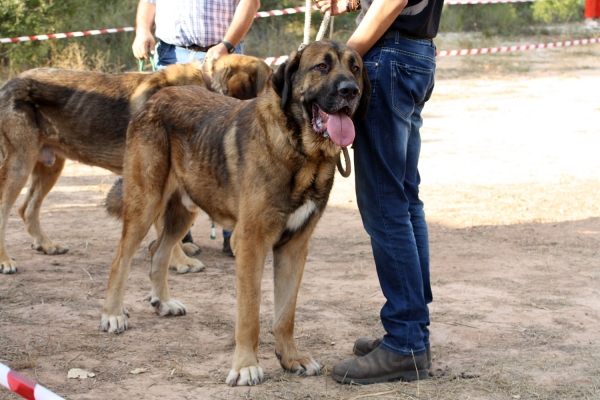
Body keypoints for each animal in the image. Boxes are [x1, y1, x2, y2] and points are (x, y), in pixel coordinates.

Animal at [0, 54, 272, 276]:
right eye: (272, 84)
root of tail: (8, 84)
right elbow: (163, 229)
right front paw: (179, 262)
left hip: (50, 165)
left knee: (27, 207)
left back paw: (46, 244)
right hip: (20, 164)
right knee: (6, 209)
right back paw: (5, 261)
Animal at [99, 39, 370, 384]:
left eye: (355, 68)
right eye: (321, 67)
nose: (350, 91)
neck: (301, 152)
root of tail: (158, 97)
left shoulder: (294, 248)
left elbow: (286, 314)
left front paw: (291, 358)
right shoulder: (251, 245)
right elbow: (250, 314)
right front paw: (245, 366)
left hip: (183, 210)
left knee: (157, 251)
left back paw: (164, 301)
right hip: (145, 204)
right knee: (121, 259)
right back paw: (112, 314)